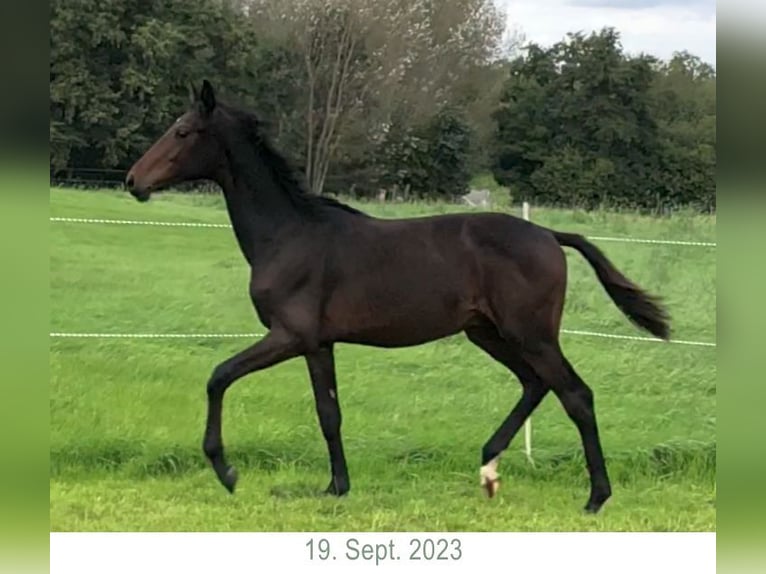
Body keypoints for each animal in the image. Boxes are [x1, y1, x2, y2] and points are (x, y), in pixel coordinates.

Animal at [126, 80, 672, 512]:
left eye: (182, 131)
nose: (134, 181)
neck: (289, 235)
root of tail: (550, 235)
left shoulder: (288, 335)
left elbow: (218, 377)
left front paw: (227, 472)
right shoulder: (318, 344)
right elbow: (329, 414)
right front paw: (336, 487)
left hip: (530, 333)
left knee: (575, 394)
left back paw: (596, 496)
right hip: (487, 333)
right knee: (535, 384)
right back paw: (488, 469)